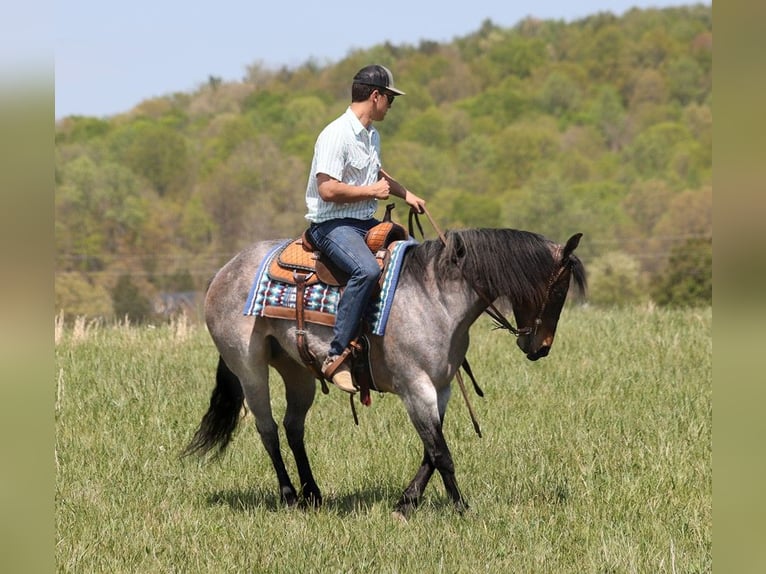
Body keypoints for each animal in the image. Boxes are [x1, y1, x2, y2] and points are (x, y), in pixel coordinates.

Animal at [184, 227, 588, 520]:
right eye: (558, 291)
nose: (541, 347)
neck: (435, 298)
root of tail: (224, 270)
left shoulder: (440, 388)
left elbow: (430, 451)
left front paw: (406, 503)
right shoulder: (415, 388)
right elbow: (441, 453)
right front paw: (461, 509)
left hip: (297, 370)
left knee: (293, 427)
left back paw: (312, 494)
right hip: (249, 367)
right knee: (267, 429)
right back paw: (288, 496)